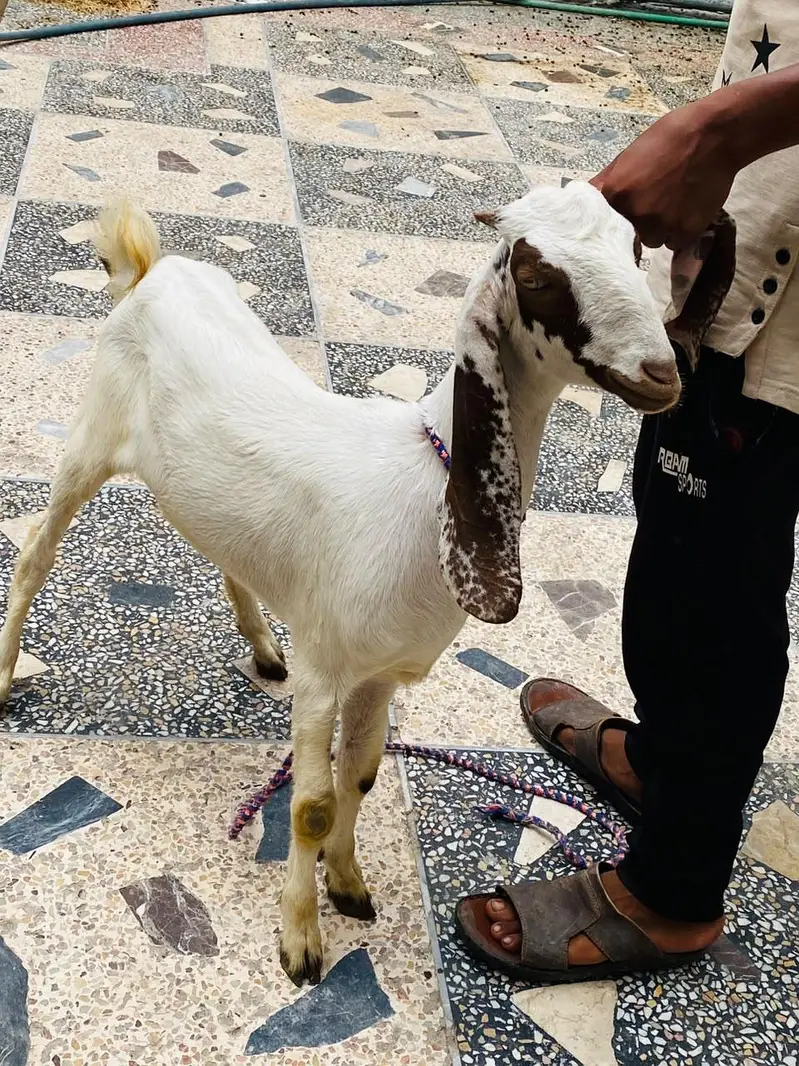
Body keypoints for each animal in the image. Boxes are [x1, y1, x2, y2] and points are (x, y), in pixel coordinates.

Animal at [0, 184, 726, 987]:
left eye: (635, 247)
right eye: (538, 276)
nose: (661, 374)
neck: (427, 477)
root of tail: (149, 271)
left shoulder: (379, 676)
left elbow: (364, 775)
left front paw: (346, 882)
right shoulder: (325, 670)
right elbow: (312, 804)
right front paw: (300, 940)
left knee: (220, 549)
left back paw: (261, 645)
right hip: (89, 441)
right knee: (34, 552)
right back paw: (4, 676)